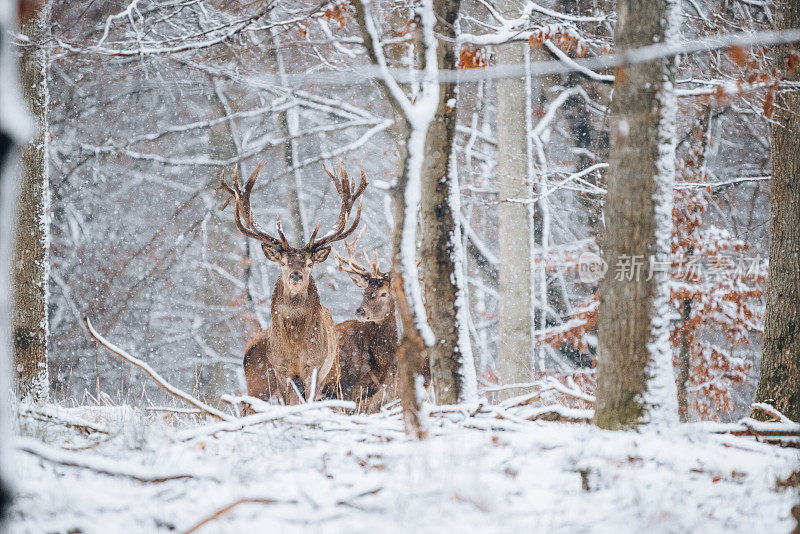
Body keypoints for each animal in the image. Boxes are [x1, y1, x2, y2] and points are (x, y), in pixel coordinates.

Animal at [220, 161, 368, 404]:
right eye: (283, 262)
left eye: (309, 263)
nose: (296, 275)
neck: (295, 348)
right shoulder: (281, 370)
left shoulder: (314, 368)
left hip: (332, 370)